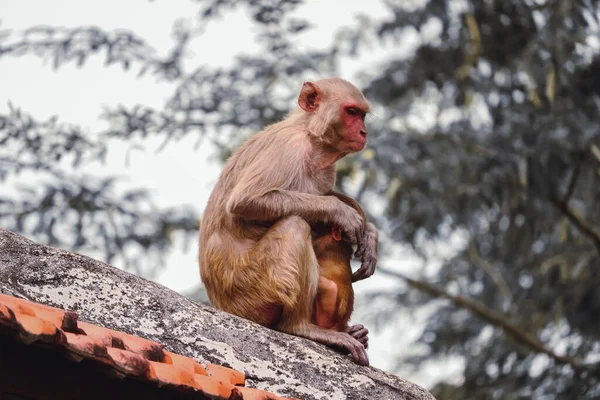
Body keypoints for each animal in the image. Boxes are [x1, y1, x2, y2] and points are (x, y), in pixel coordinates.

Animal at [199, 77, 378, 366]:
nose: (364, 132)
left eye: (362, 115)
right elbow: (246, 201)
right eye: (351, 112)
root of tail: (221, 305)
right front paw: (341, 212)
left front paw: (370, 235)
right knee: (294, 226)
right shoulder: (289, 148)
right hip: (251, 293)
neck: (310, 135)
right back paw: (301, 327)